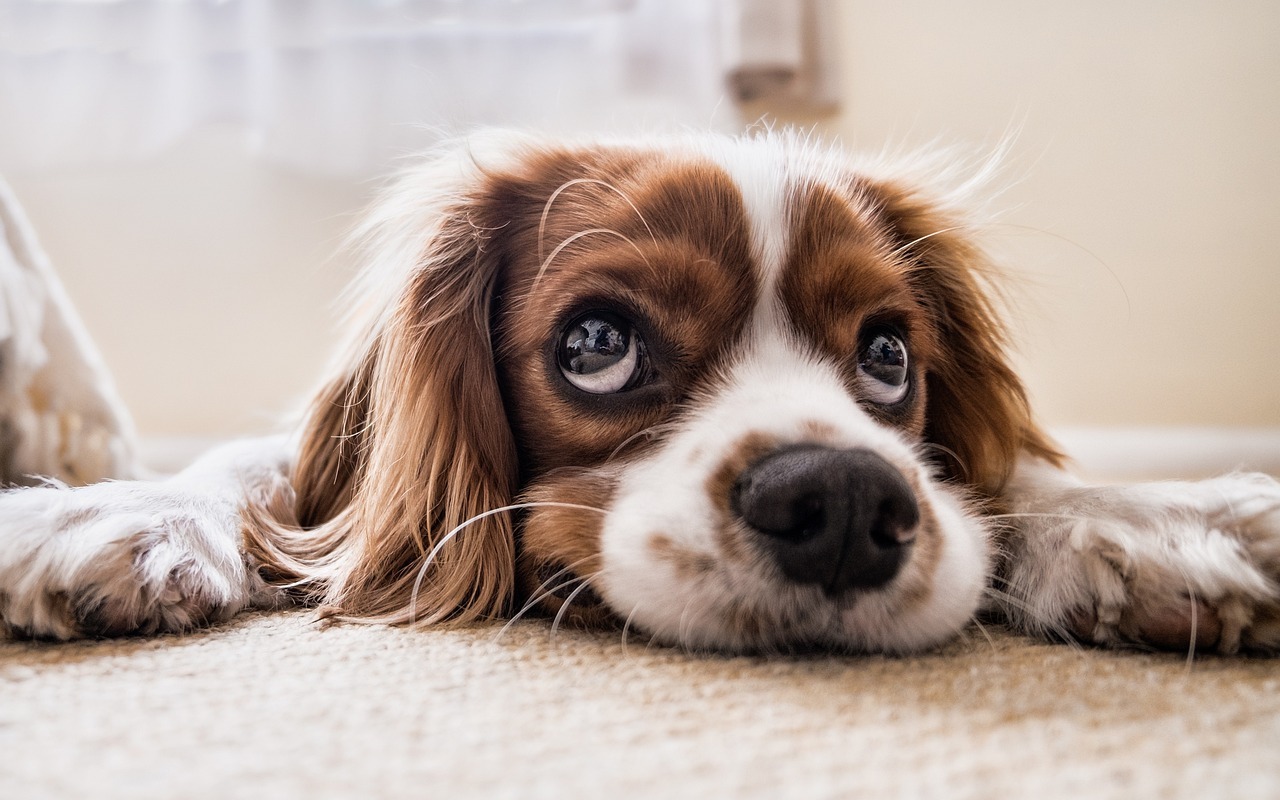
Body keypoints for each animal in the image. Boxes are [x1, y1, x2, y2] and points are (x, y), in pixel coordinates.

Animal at [2, 132, 1280, 655]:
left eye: (886, 356)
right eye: (596, 343)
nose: (841, 502)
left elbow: (1011, 477)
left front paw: (1157, 518)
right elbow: (259, 470)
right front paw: (111, 511)